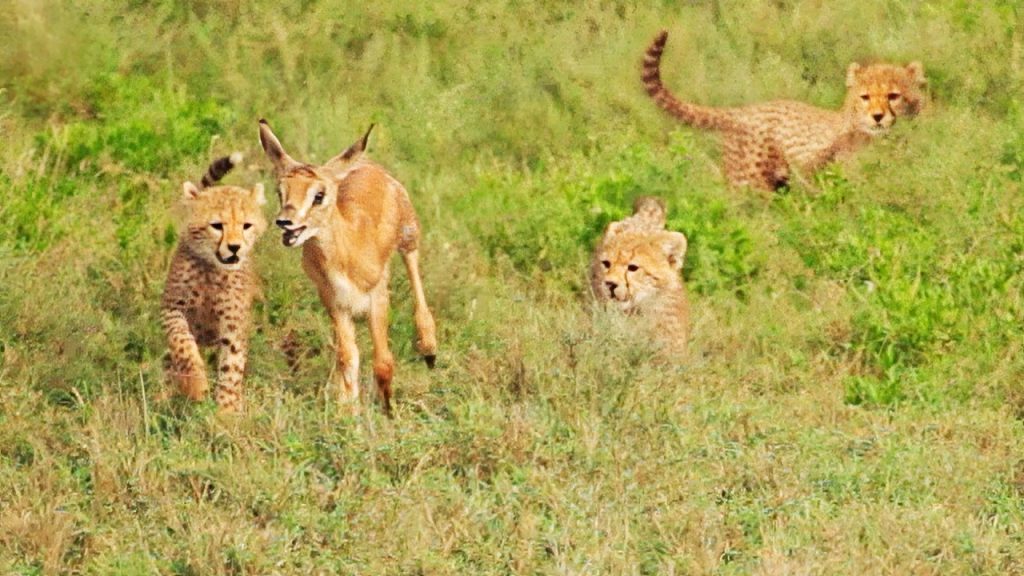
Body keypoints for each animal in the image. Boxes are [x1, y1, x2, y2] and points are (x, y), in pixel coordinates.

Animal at [160, 152, 268, 413]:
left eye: (246, 226)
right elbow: (182, 344)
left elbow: (232, 367)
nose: (235, 247)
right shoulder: (172, 309)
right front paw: (196, 385)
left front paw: (226, 411)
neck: (213, 269)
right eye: (217, 226)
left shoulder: (233, 325)